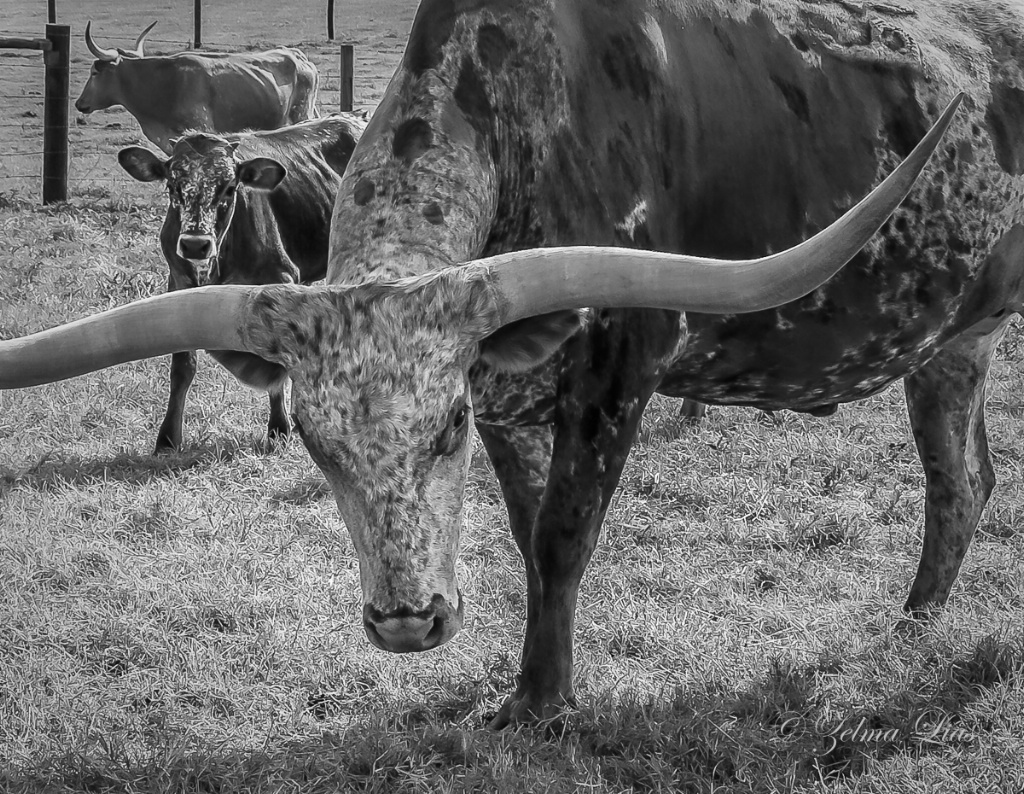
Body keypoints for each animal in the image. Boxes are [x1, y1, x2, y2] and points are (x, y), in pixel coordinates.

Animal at [116, 113, 368, 452]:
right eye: (172, 185)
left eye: (229, 187)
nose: (195, 244)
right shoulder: (177, 283)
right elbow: (182, 365)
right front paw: (167, 438)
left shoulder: (279, 277)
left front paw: (279, 427)